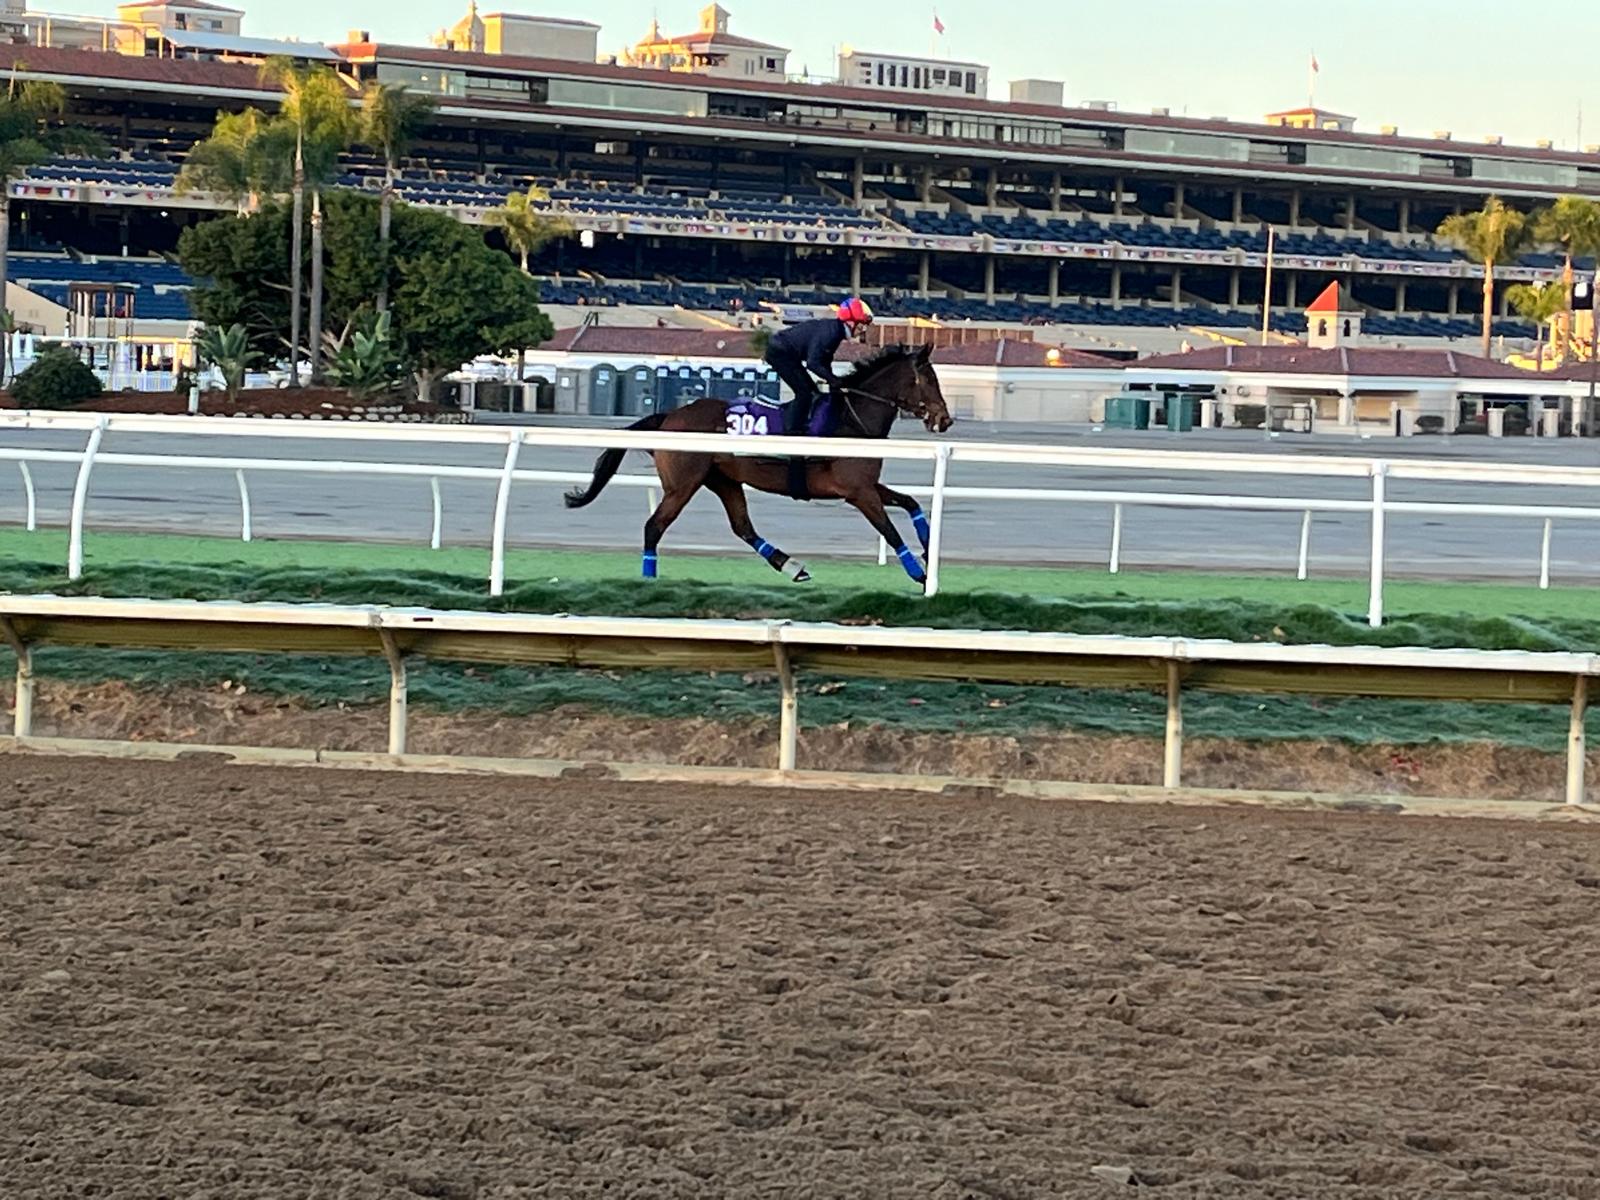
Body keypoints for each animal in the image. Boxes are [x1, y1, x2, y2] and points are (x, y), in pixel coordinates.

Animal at [566, 345, 947, 588]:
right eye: (928, 380)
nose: (944, 419)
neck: (851, 421)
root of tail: (670, 416)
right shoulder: (857, 492)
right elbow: (890, 530)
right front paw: (919, 574)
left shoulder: (866, 486)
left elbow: (911, 503)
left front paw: (929, 547)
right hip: (683, 485)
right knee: (653, 526)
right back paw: (649, 580)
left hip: (724, 480)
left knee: (743, 527)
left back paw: (792, 566)